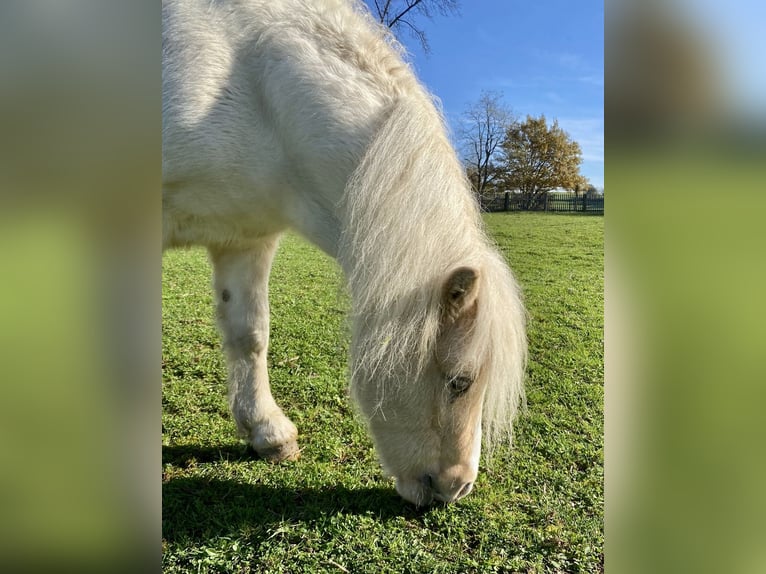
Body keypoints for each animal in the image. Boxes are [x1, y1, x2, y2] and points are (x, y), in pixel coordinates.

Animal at [164, 0, 528, 506]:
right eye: (460, 381)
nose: (456, 489)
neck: (251, 91)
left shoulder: (245, 239)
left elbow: (250, 335)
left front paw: (268, 433)